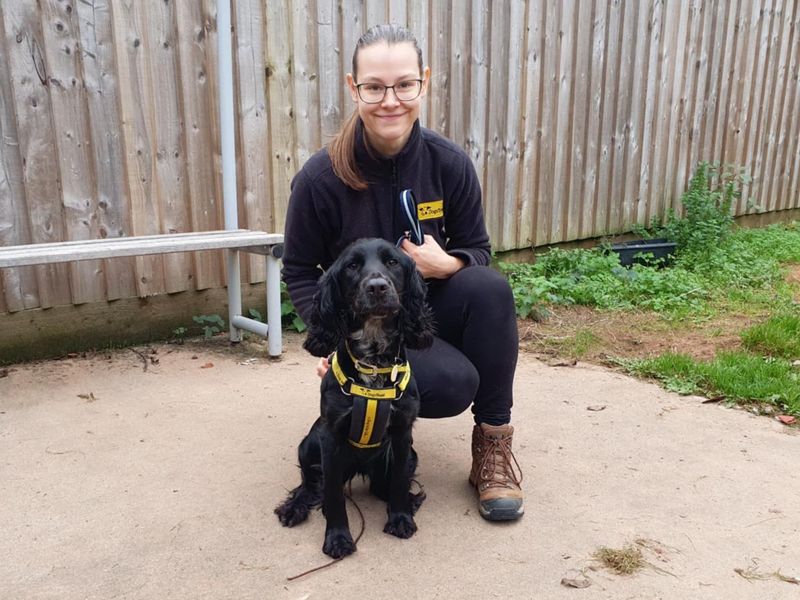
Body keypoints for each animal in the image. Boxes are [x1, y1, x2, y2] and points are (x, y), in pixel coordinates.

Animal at [276, 236, 438, 556]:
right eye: (351, 266)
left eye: (392, 262)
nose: (377, 287)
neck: (372, 361)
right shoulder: (330, 436)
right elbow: (333, 495)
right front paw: (338, 537)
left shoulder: (403, 433)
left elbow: (399, 480)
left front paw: (401, 518)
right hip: (308, 444)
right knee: (309, 484)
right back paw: (294, 508)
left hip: (408, 454)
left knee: (382, 485)